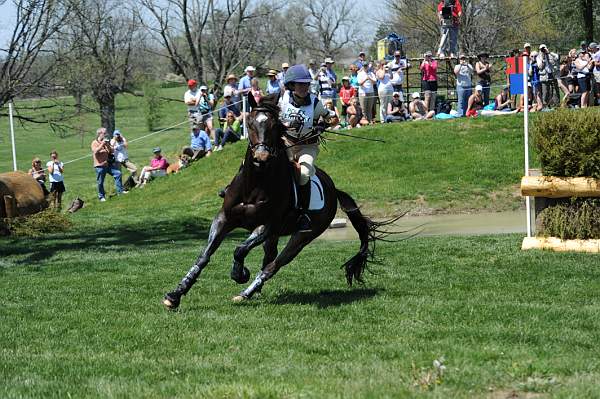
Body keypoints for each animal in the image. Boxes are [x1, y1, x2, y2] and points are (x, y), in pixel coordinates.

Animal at [162, 93, 392, 310]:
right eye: (250, 123)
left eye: (274, 126)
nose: (261, 157)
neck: (256, 183)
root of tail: (334, 190)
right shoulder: (225, 218)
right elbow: (204, 256)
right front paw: (175, 294)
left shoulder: (268, 225)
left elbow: (240, 249)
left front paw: (239, 273)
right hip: (274, 237)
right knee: (268, 260)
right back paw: (253, 291)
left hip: (301, 238)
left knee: (273, 266)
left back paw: (245, 293)